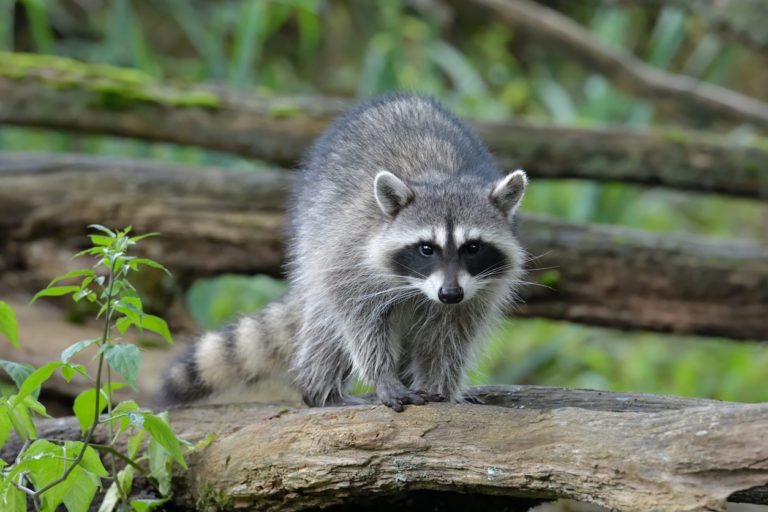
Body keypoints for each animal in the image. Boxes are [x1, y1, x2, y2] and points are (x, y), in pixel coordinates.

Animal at [162, 93, 528, 411]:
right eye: (427, 248)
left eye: (473, 248)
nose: (449, 294)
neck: (442, 178)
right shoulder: (351, 253)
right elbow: (358, 319)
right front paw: (382, 376)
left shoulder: (479, 290)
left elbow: (450, 338)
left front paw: (442, 388)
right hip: (313, 235)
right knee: (325, 327)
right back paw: (322, 390)